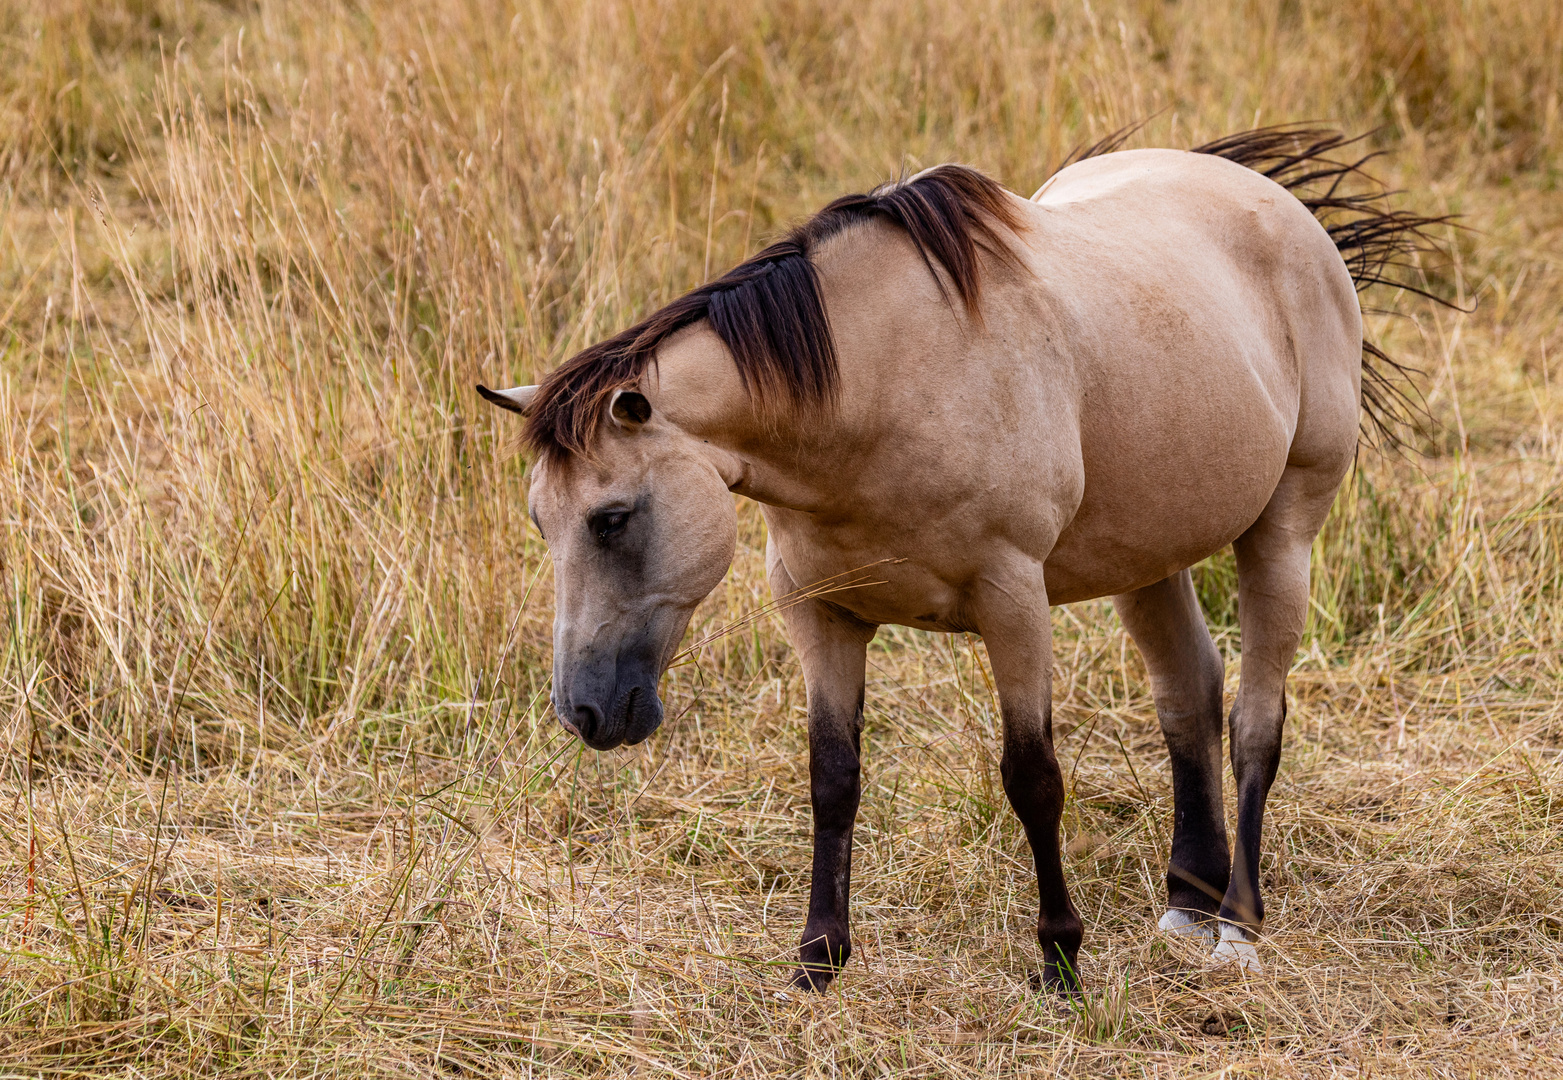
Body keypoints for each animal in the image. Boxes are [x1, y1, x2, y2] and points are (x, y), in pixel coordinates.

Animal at [472, 126, 1437, 987]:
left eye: (611, 518)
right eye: (541, 521)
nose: (585, 713)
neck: (879, 386)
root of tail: (1277, 206)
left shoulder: (1011, 603)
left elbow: (1032, 778)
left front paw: (1060, 960)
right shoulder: (820, 613)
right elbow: (832, 777)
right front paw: (817, 960)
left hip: (1281, 533)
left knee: (1252, 723)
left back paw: (1236, 926)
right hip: (1148, 555)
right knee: (1187, 697)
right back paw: (1185, 904)